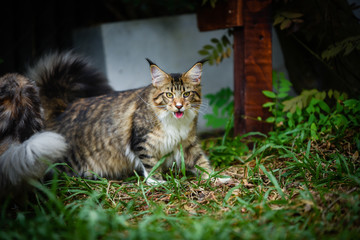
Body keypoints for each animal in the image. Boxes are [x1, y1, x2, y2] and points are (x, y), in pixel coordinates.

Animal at [29, 52, 214, 184]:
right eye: (169, 95)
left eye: (186, 94)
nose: (179, 105)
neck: (175, 123)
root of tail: (64, 108)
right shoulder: (141, 142)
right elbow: (151, 164)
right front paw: (157, 182)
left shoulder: (188, 144)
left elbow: (201, 162)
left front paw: (216, 178)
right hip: (67, 160)